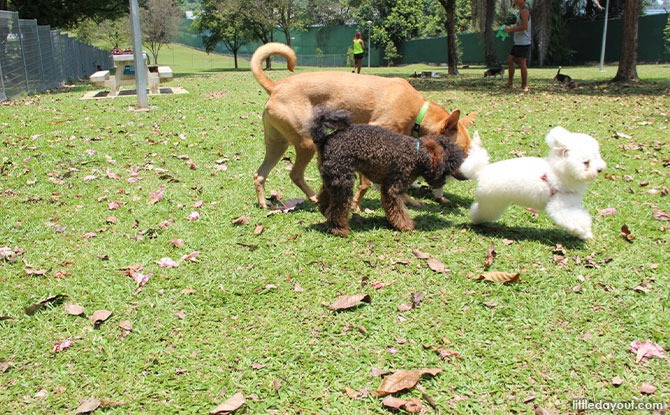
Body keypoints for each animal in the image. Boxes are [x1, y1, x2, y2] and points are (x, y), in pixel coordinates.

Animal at [252, 43, 478, 208]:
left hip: (278, 145)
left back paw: (264, 204)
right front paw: (356, 205)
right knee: (295, 174)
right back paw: (315, 198)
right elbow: (366, 183)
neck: (417, 112)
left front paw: (409, 201)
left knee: (259, 174)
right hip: (306, 143)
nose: (466, 177)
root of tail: (276, 86)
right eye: (460, 152)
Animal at [312, 106, 464, 237]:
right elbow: (399, 210)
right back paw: (338, 229)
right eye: (448, 169)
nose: (443, 183)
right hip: (344, 182)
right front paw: (406, 225)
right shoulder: (392, 189)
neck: (417, 154)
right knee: (338, 209)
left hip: (333, 178)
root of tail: (325, 139)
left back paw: (325, 212)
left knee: (325, 198)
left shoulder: (387, 187)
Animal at [462, 128, 608, 242]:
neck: (559, 172)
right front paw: (585, 234)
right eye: (586, 162)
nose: (600, 169)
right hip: (491, 203)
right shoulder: (560, 207)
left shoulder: (571, 203)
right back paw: (476, 221)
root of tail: (482, 171)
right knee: (480, 211)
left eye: (597, 156)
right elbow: (576, 220)